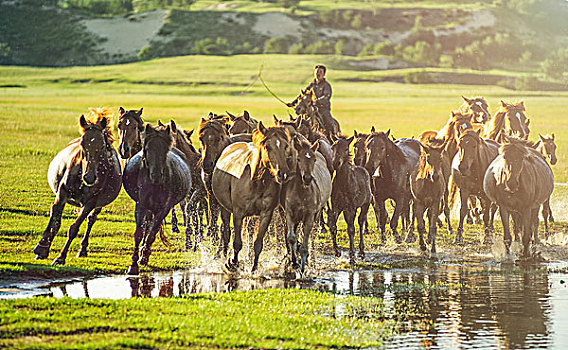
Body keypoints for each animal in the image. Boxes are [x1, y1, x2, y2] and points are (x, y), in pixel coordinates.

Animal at [33, 113, 122, 264]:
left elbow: (74, 228)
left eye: (102, 146)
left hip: (98, 205)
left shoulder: (91, 203)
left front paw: (60, 257)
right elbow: (55, 222)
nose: (89, 177)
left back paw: (83, 249)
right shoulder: (62, 193)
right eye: (82, 144)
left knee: (91, 220)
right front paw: (42, 248)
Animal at [211, 123, 296, 274]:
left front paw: (254, 268)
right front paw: (233, 263)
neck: (257, 181)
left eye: (286, 146)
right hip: (225, 209)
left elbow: (258, 243)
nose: (284, 174)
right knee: (226, 232)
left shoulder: (266, 214)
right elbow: (237, 242)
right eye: (268, 146)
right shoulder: (238, 213)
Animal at [280, 135, 332, 272]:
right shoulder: (290, 214)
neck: (301, 192)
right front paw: (294, 262)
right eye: (298, 159)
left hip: (317, 213)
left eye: (313, 159)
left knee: (312, 235)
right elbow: (291, 238)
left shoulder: (309, 215)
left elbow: (305, 240)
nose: (307, 178)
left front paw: (303, 267)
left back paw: (311, 260)